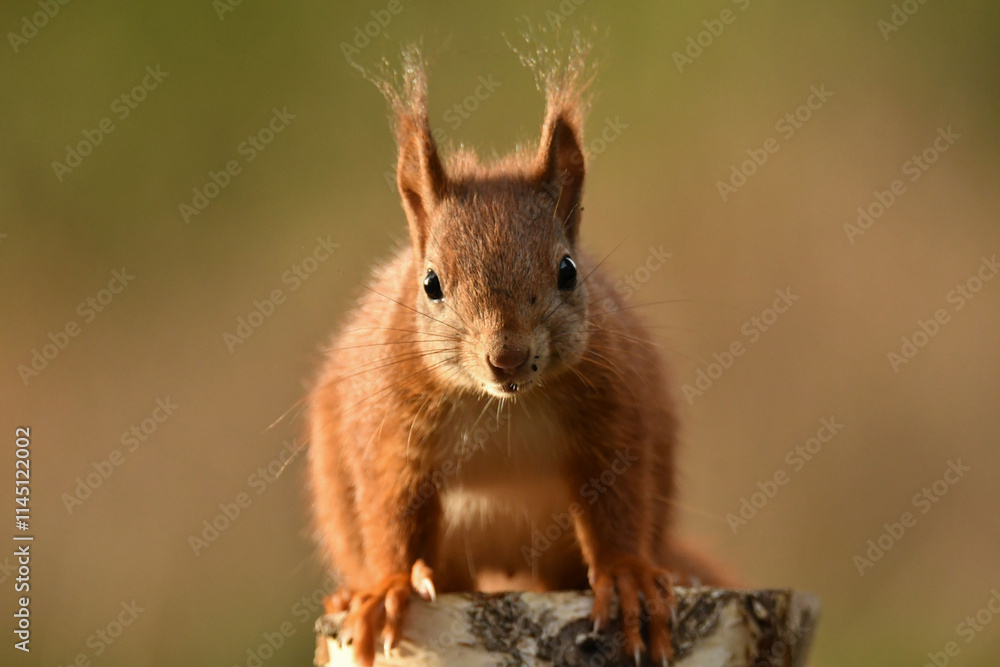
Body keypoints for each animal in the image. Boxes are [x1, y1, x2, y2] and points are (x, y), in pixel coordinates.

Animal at [307, 44, 732, 667]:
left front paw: (628, 576)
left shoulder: (615, 409)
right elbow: (391, 508)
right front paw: (387, 587)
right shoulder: (391, 426)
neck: (501, 406)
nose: (507, 358)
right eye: (430, 283)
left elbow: (619, 500)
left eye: (568, 271)